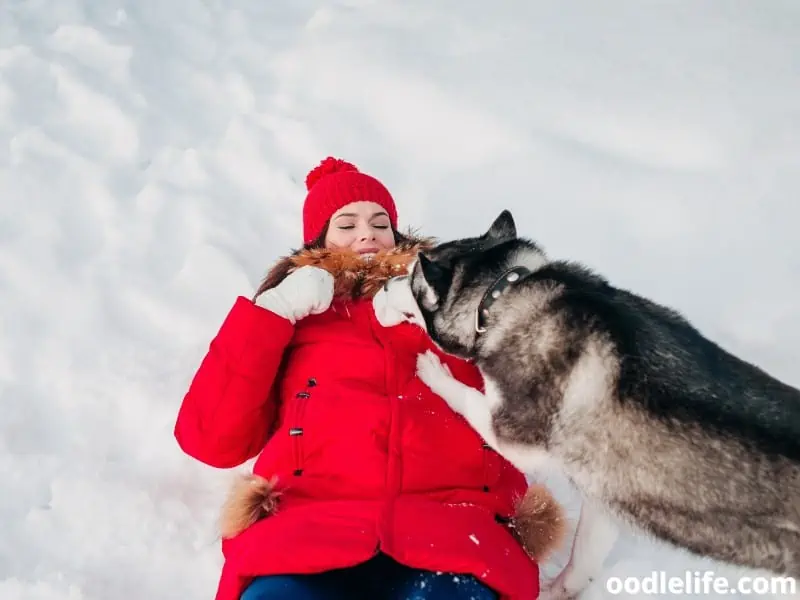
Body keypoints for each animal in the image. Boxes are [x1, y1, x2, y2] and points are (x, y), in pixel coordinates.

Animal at [380, 211, 800, 600]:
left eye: (414, 280)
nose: (384, 284)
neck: (505, 292)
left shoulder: (516, 436)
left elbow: (469, 399)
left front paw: (433, 373)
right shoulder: (606, 492)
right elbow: (583, 558)